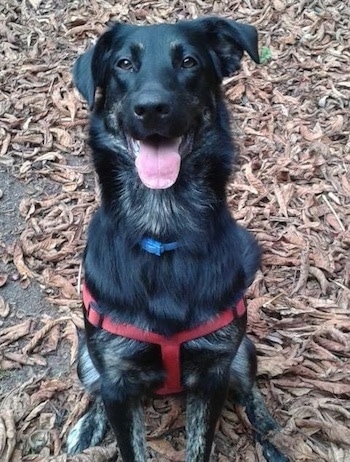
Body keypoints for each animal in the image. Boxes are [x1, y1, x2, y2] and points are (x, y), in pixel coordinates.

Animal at [66, 18, 288, 462]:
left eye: (189, 61)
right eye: (123, 64)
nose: (152, 107)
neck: (163, 229)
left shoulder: (214, 371)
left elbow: (200, 444)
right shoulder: (117, 378)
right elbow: (128, 440)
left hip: (242, 352)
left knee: (248, 386)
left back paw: (266, 426)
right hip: (86, 358)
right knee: (95, 387)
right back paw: (88, 425)